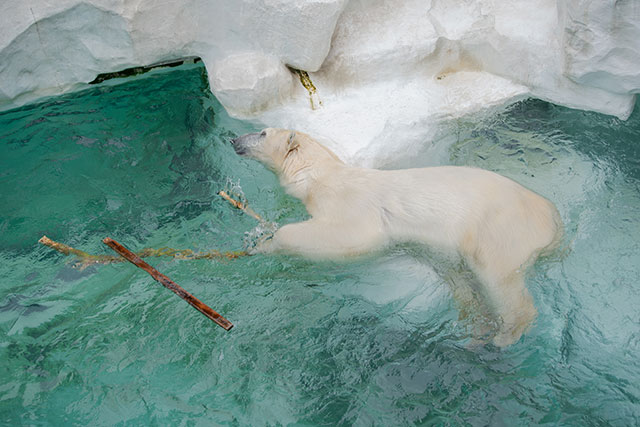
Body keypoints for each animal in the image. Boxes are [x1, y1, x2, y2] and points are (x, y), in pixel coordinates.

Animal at [232, 128, 564, 348]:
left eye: (261, 132)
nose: (234, 139)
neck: (318, 176)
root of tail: (554, 224)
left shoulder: (349, 202)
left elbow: (351, 236)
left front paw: (265, 241)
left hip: (500, 229)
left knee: (497, 277)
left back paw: (505, 335)